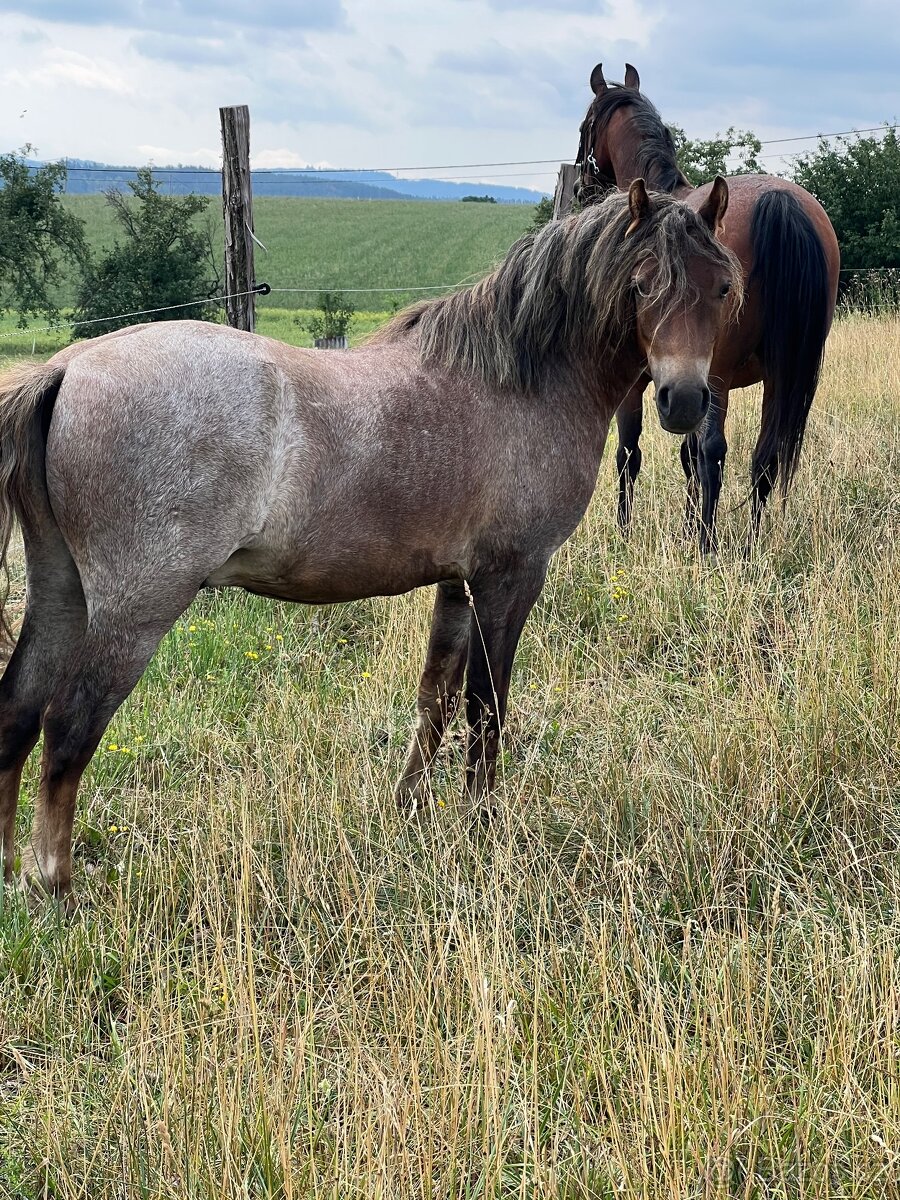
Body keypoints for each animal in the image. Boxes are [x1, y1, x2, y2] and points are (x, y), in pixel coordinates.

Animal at [0, 181, 741, 903]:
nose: (682, 401)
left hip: (61, 595)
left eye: (722, 288)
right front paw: (481, 832)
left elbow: (436, 696)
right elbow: (486, 707)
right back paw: (54, 882)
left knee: (17, 711)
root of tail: (68, 369)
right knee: (66, 729)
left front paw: (409, 811)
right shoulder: (510, 579)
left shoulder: (458, 583)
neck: (518, 383)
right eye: (642, 285)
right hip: (135, 613)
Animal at [575, 63, 841, 552]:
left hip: (718, 375)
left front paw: (627, 531)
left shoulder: (643, 385)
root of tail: (781, 201)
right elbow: (688, 453)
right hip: (781, 375)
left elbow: (629, 453)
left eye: (586, 126)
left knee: (717, 452)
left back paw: (707, 544)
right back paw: (750, 547)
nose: (584, 185)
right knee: (763, 458)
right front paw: (686, 523)